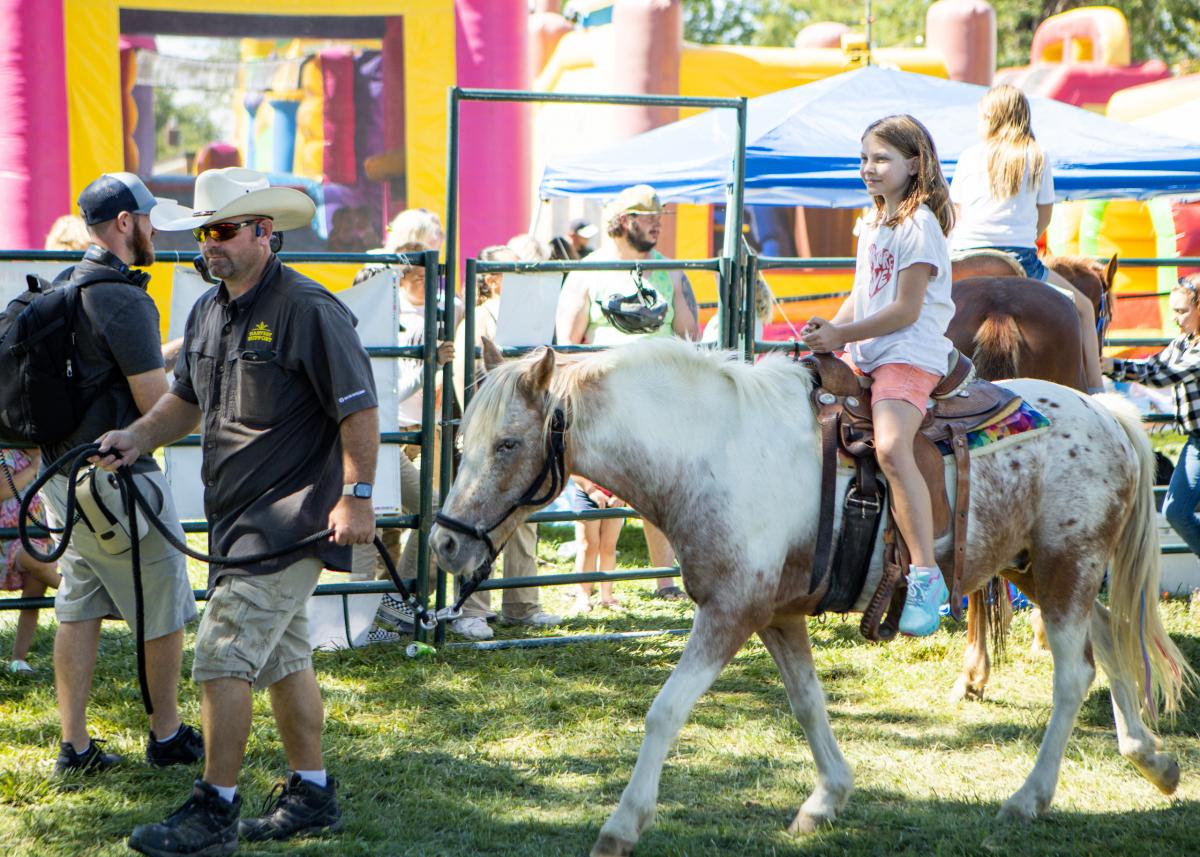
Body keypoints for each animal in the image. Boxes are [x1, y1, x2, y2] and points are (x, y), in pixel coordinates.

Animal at [432, 336, 1190, 849]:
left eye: (507, 443)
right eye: (462, 441)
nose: (442, 544)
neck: (710, 451)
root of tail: (1105, 411)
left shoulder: (729, 612)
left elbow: (665, 711)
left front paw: (622, 823)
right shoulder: (776, 614)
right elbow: (807, 703)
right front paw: (827, 799)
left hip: (1065, 566)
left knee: (1074, 673)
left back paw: (1030, 797)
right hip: (1039, 568)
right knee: (1110, 641)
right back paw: (1152, 759)